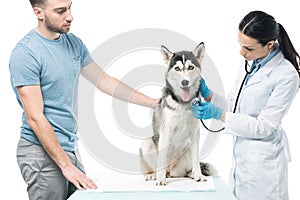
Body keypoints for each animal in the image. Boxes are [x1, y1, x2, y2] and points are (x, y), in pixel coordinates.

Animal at [139, 42, 213, 186]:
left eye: (191, 67)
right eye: (177, 69)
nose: (185, 82)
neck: (183, 104)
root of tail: (170, 171)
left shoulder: (195, 132)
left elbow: (196, 159)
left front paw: (199, 175)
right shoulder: (166, 131)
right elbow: (161, 160)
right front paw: (160, 180)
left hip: (187, 152)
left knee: (186, 170)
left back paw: (191, 174)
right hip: (147, 143)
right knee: (156, 167)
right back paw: (153, 175)